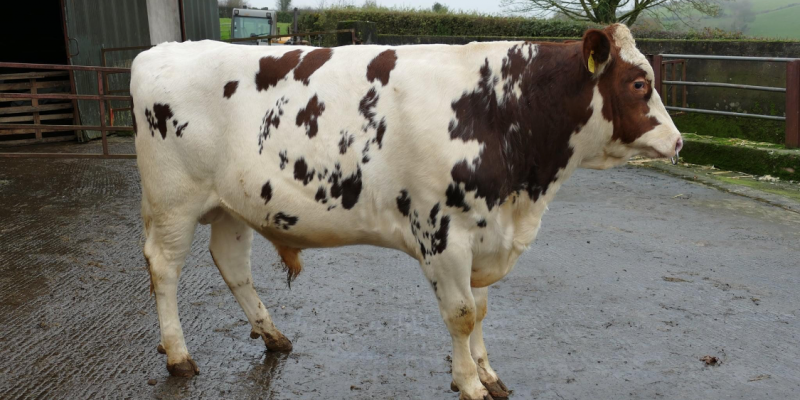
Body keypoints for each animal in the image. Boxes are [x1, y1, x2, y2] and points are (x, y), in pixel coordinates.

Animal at [131, 23, 682, 400]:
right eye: (639, 83)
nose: (677, 142)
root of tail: (161, 50)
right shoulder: (443, 234)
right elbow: (461, 315)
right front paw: (469, 383)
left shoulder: (485, 229)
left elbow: (481, 311)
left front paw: (488, 373)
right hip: (174, 199)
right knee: (164, 267)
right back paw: (178, 355)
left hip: (233, 203)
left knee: (232, 265)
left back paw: (273, 336)